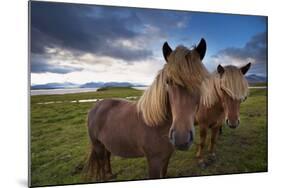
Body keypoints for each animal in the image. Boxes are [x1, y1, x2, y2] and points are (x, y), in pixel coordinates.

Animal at [85, 38, 208, 181]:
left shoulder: (166, 158)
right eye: (168, 81)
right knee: (101, 162)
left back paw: (110, 174)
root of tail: (95, 107)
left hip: (106, 144)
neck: (157, 124)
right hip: (98, 146)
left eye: (200, 81)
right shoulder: (153, 161)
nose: (181, 138)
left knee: (107, 157)